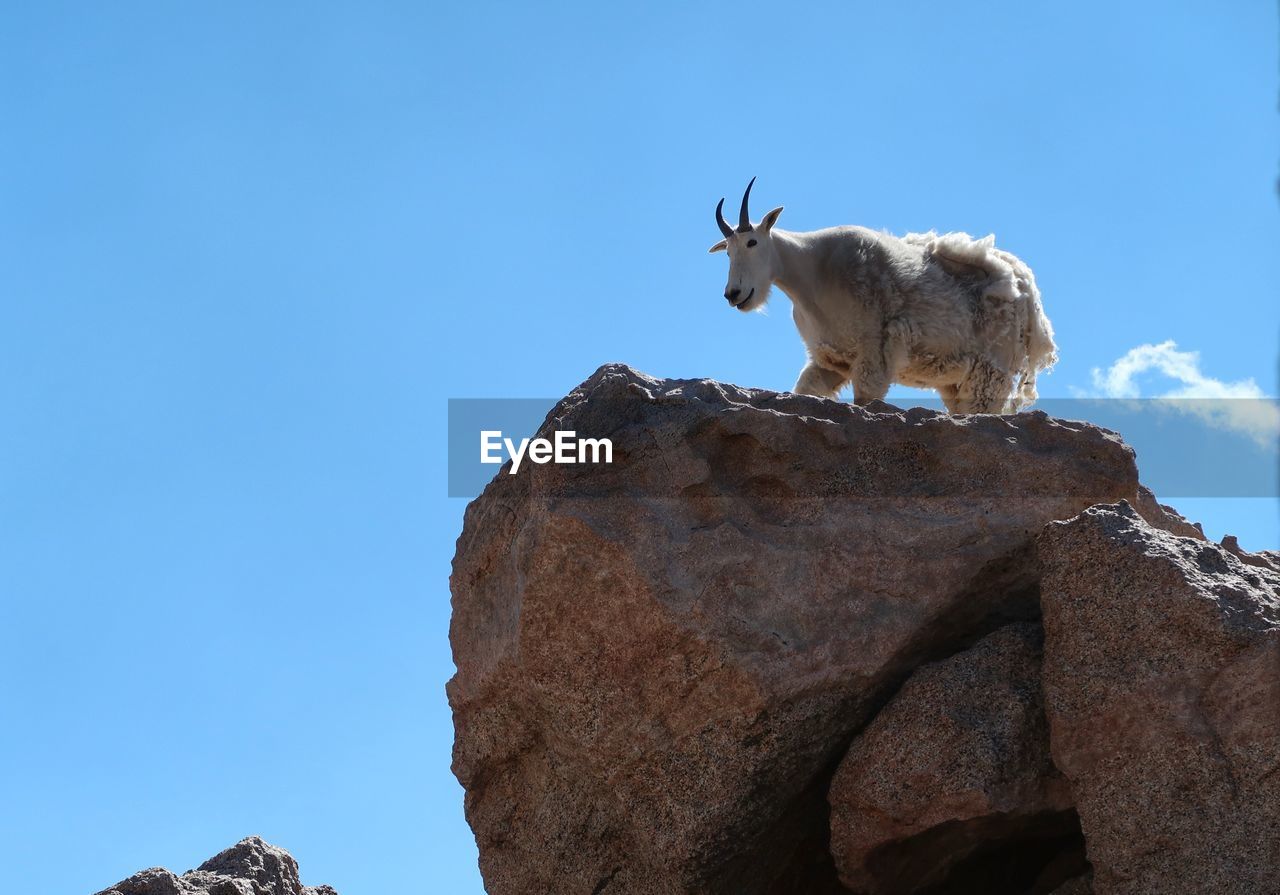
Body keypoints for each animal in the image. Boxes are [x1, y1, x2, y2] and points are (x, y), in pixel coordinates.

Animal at [706, 179, 1054, 417]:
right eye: (728, 251)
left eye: (752, 242)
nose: (734, 294)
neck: (812, 271)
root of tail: (1026, 294)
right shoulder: (831, 359)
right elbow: (806, 389)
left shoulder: (875, 349)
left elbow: (866, 398)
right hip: (958, 378)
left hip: (991, 367)